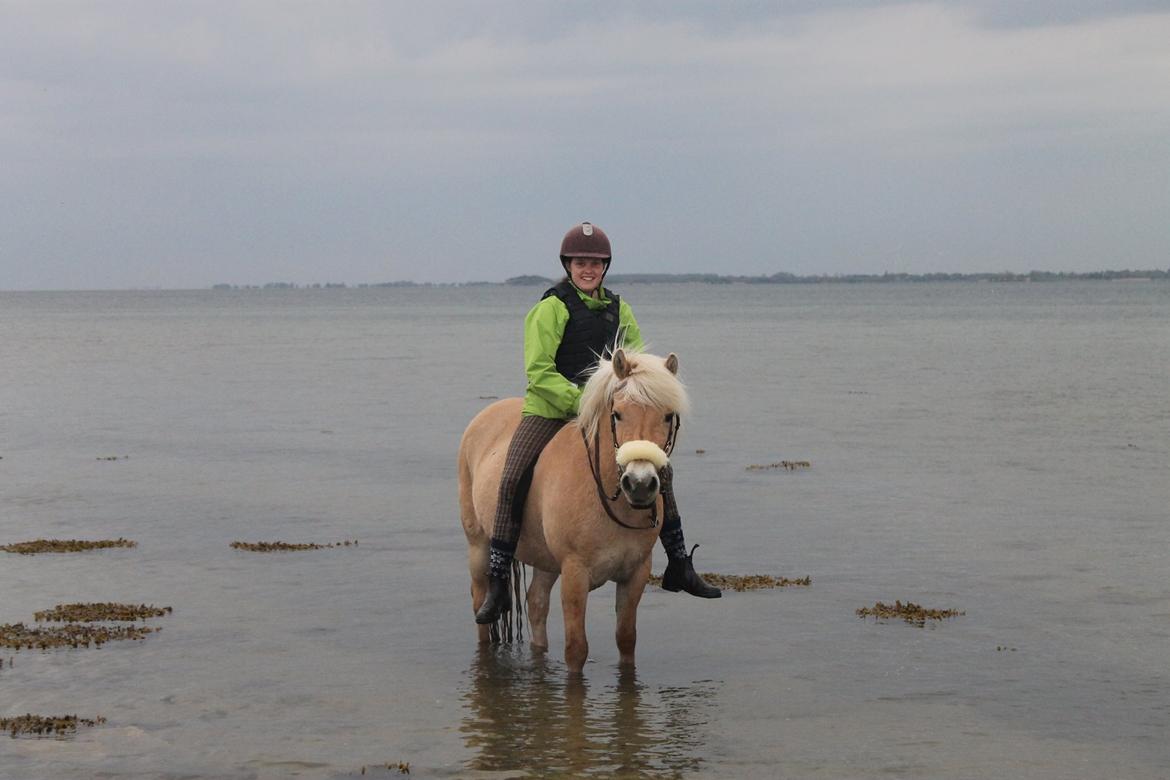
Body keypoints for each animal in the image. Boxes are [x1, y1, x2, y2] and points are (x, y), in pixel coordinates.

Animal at [456, 350, 687, 673]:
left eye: (667, 416)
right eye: (618, 414)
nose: (639, 484)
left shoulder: (636, 573)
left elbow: (626, 638)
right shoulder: (574, 574)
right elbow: (576, 648)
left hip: (545, 558)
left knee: (536, 603)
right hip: (478, 545)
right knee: (480, 602)